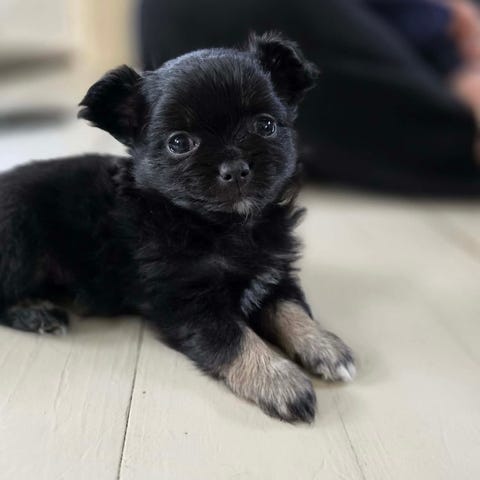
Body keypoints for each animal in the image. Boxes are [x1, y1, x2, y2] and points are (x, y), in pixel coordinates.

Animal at [0, 32, 355, 422]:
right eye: (179, 143)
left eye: (265, 126)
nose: (235, 168)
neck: (221, 227)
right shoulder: (188, 302)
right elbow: (236, 338)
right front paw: (278, 380)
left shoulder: (272, 274)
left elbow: (292, 309)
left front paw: (323, 344)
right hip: (19, 239)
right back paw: (37, 313)